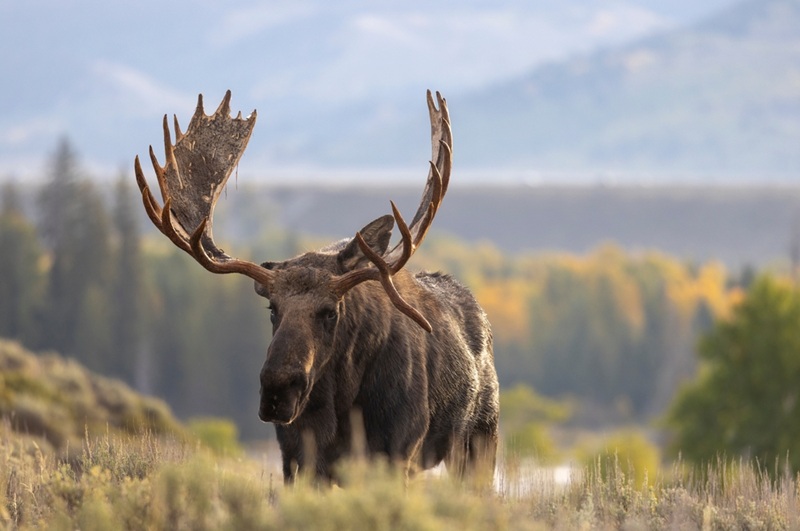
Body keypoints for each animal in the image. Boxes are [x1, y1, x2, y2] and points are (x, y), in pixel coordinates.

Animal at [134, 90, 499, 485]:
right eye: (272, 308)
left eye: (330, 312)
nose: (277, 391)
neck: (341, 408)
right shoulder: (296, 460)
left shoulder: (399, 452)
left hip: (480, 436)